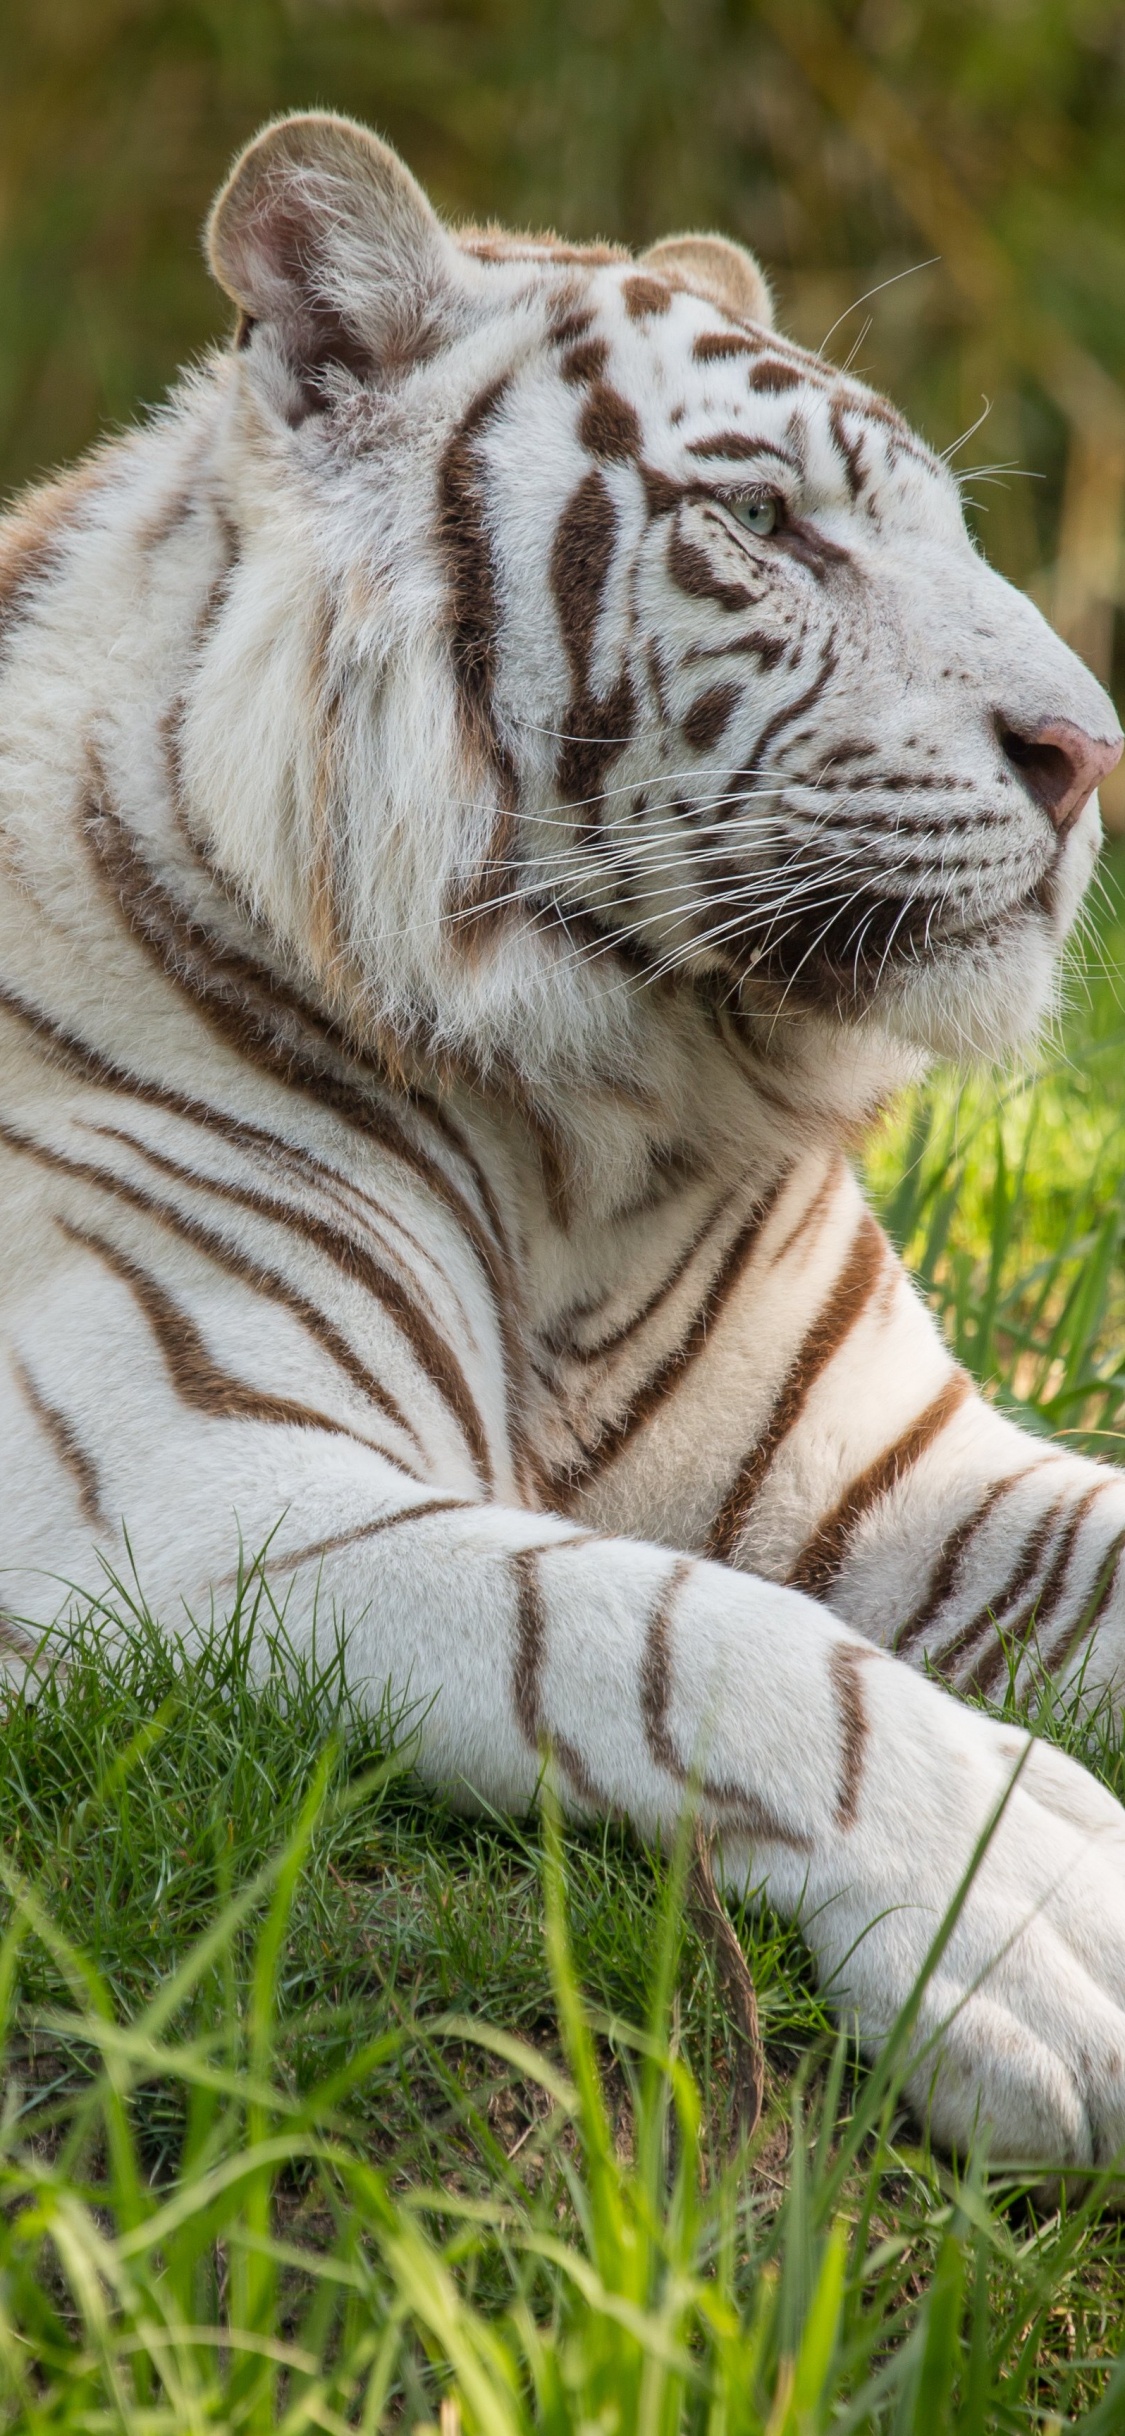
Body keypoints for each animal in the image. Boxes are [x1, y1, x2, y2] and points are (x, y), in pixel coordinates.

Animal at [4, 108, 1125, 2166]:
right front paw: (1039, 1909)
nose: (1089, 757)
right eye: (764, 523)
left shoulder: (898, 1473)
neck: (595, 1140)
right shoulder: (162, 1488)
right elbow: (678, 1635)